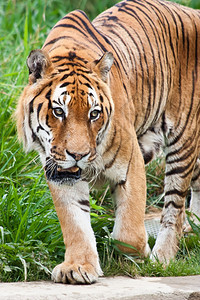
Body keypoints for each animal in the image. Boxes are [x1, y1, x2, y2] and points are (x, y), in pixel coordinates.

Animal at [16, 0, 200, 284]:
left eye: (94, 114)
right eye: (59, 111)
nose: (78, 154)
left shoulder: (132, 162)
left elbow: (128, 232)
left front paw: (141, 253)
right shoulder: (60, 172)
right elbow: (75, 224)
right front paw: (78, 267)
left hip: (183, 141)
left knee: (174, 209)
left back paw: (163, 258)